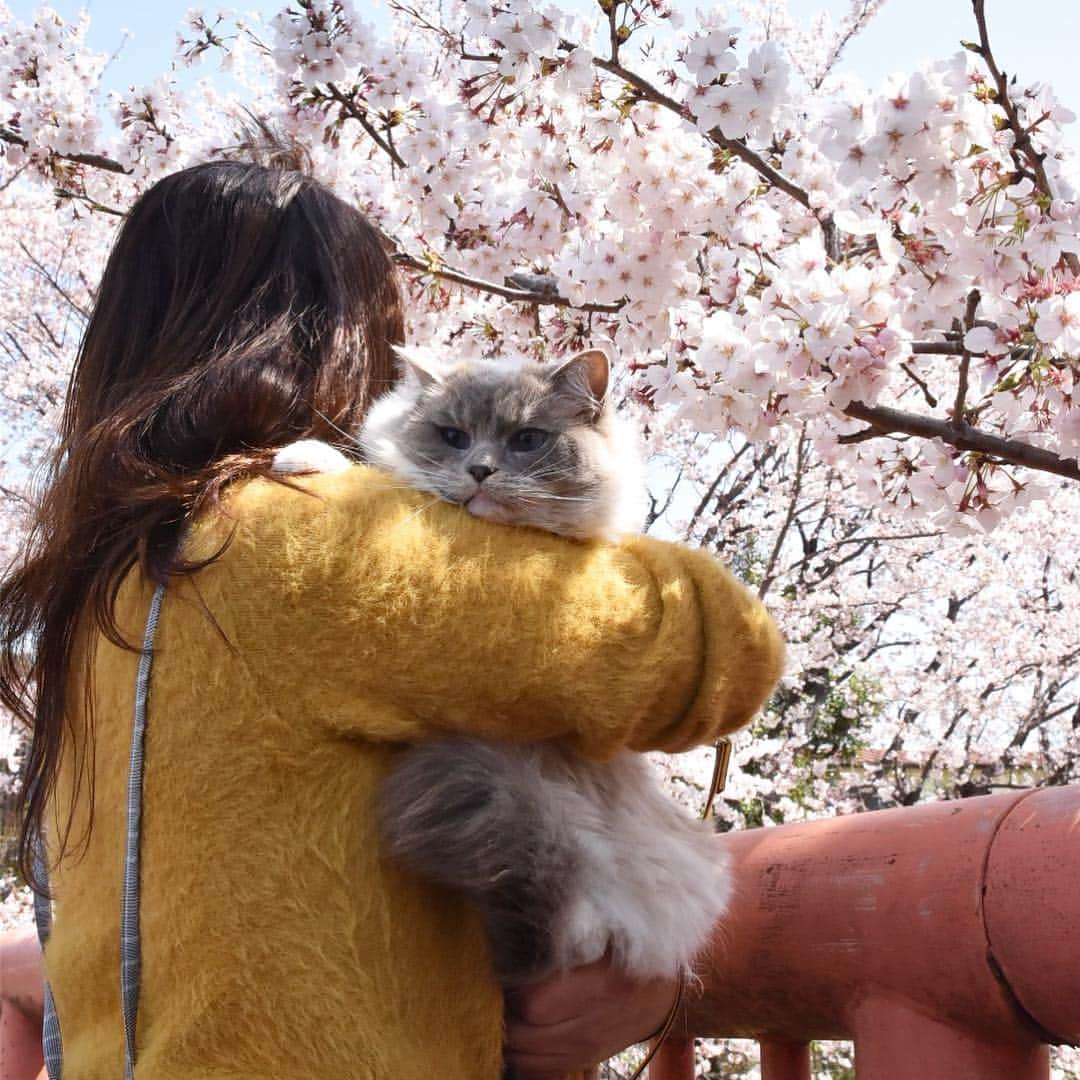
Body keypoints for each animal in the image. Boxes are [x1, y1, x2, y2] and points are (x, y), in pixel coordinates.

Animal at [270, 352, 730, 989]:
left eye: (527, 441)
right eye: (453, 437)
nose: (481, 471)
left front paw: (302, 459)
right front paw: (305, 457)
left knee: (575, 929)